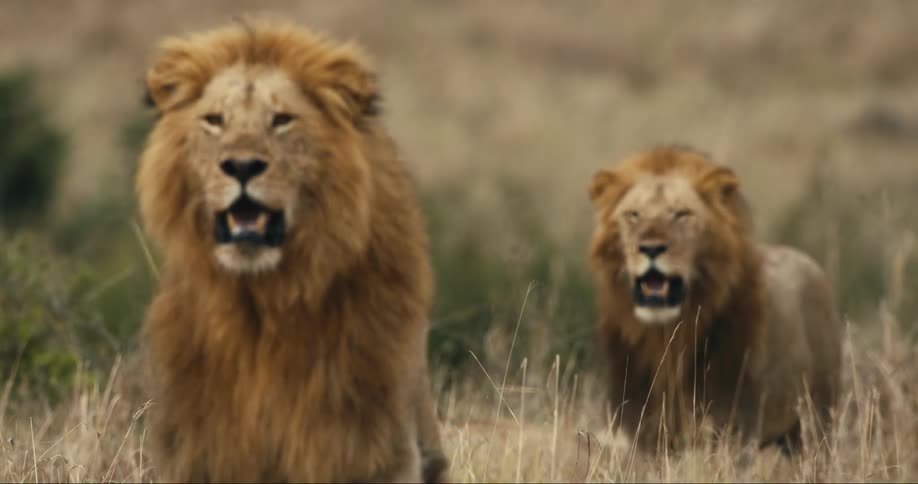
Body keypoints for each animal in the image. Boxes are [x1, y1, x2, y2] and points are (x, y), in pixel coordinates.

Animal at [136, 20, 447, 482]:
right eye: (215, 121)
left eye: (281, 120)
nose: (242, 166)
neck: (264, 303)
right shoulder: (197, 451)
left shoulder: (375, 449)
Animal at [587, 145, 842, 451]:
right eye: (633, 214)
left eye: (682, 214)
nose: (650, 248)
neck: (668, 336)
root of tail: (809, 261)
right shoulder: (641, 427)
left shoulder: (733, 426)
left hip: (815, 422)